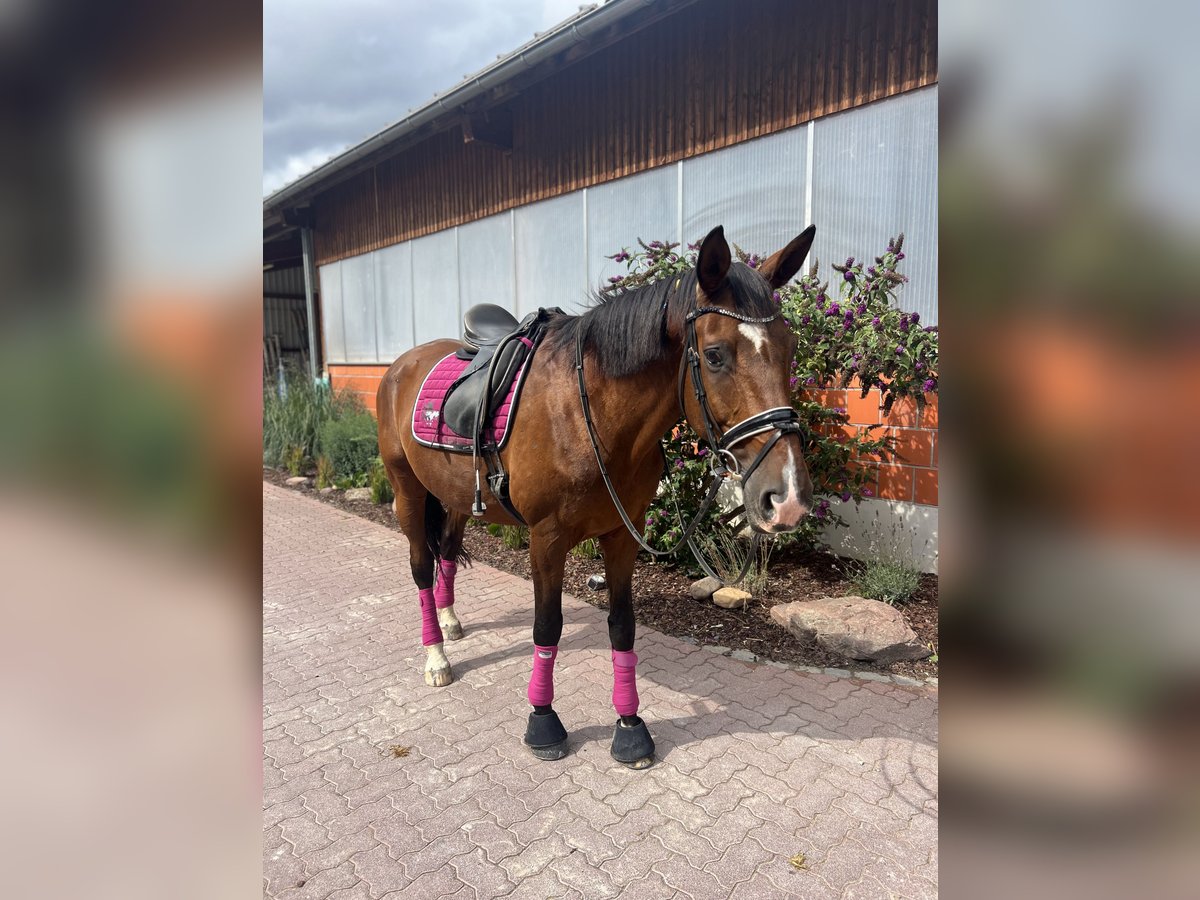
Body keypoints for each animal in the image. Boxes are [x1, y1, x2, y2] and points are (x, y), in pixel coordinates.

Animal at [376, 225, 816, 768]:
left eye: (789, 347)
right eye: (715, 354)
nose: (788, 497)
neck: (590, 418)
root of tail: (401, 365)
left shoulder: (623, 534)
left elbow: (623, 625)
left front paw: (630, 726)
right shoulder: (546, 539)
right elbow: (547, 627)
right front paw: (543, 722)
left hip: (455, 496)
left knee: (448, 556)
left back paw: (450, 620)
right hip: (407, 492)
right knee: (420, 566)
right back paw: (436, 656)